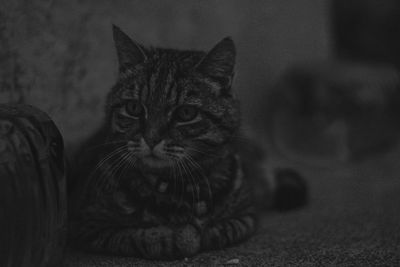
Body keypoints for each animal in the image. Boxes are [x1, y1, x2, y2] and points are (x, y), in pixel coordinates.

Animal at [69, 25, 306, 260]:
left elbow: (224, 228)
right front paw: (181, 236)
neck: (184, 186)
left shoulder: (247, 215)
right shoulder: (88, 225)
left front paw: (203, 231)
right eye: (133, 108)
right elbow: (141, 236)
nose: (151, 138)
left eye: (186, 113)